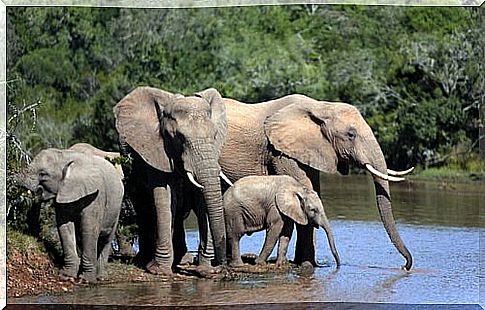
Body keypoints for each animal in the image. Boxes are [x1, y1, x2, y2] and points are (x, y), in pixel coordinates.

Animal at [18, 145, 125, 284]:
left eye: (43, 174)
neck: (65, 155)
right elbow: (65, 227)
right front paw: (66, 276)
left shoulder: (95, 195)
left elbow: (89, 229)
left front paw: (86, 280)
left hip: (117, 207)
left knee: (106, 239)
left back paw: (100, 277)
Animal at [115, 86, 233, 274]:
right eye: (179, 138)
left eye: (215, 136)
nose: (222, 268)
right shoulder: (155, 149)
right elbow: (163, 196)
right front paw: (159, 270)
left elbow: (201, 199)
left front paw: (204, 269)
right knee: (142, 204)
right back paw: (144, 260)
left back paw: (183, 260)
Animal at [219, 93, 412, 270]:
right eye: (351, 134)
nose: (404, 266)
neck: (320, 107)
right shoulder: (280, 152)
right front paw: (307, 266)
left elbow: (313, 189)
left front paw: (307, 264)